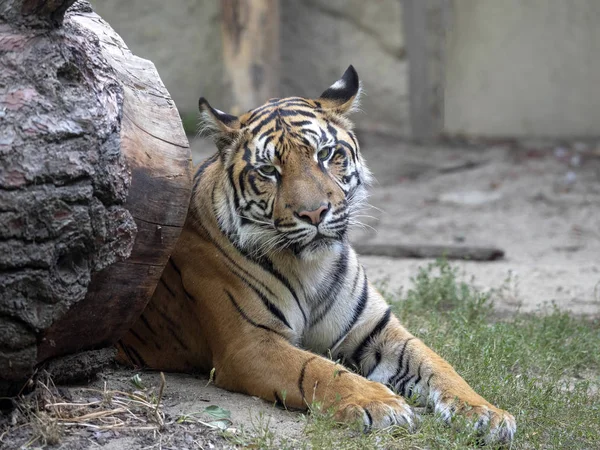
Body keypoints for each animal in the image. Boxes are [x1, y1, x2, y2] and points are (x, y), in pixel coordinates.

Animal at [117, 66, 516, 442]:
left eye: (325, 154)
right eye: (269, 170)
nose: (314, 213)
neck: (311, 266)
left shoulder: (378, 329)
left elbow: (438, 365)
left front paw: (486, 413)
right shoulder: (250, 343)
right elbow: (320, 369)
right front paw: (381, 403)